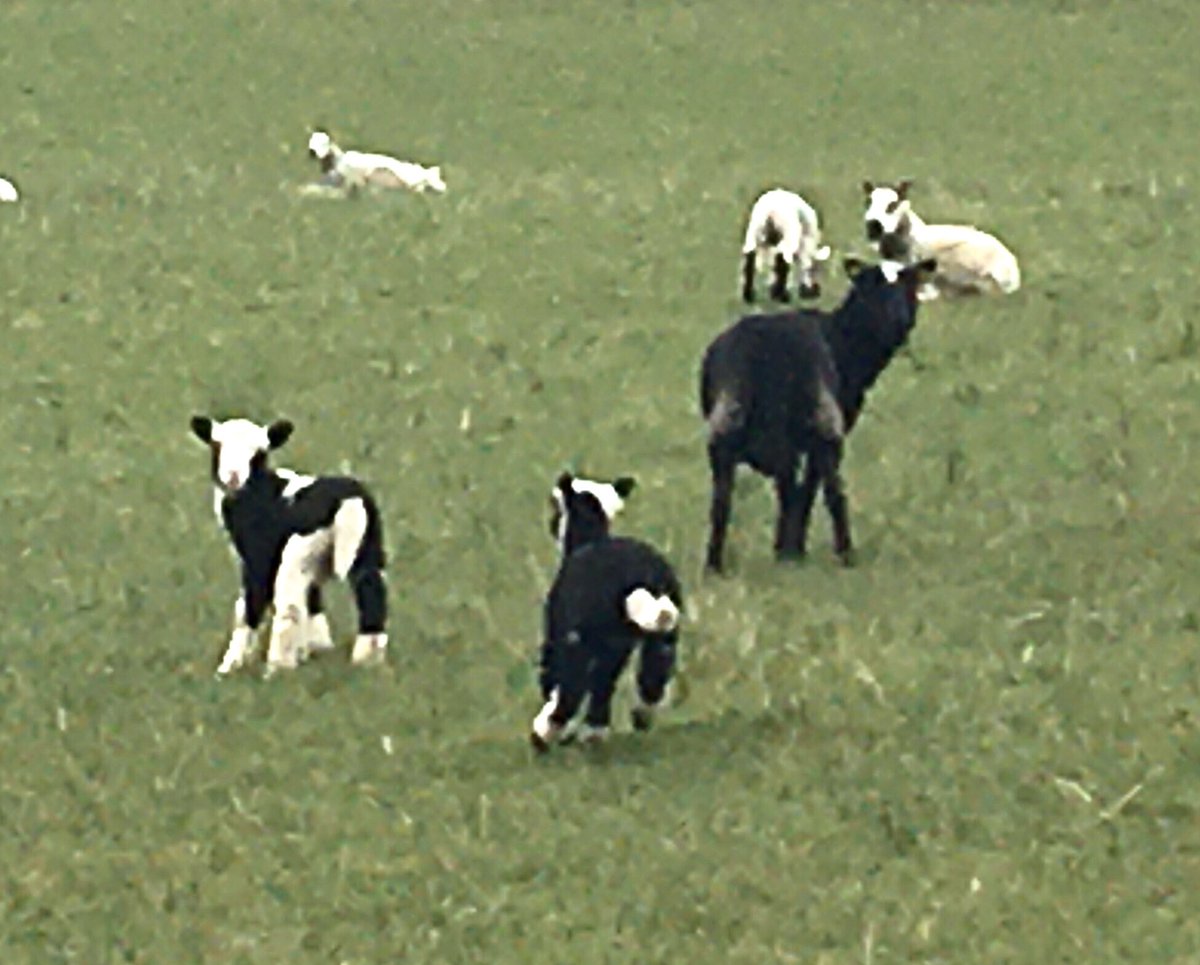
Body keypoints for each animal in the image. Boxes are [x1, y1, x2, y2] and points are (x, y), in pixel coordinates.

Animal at [189, 416, 388, 676]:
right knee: (371, 588)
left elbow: (249, 604)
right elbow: (313, 600)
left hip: (298, 552)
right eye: (216, 445)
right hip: (365, 546)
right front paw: (317, 649)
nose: (233, 476)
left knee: (289, 605)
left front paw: (230, 666)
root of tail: (347, 498)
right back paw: (367, 661)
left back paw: (277, 669)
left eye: (259, 454)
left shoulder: (258, 554)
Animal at [531, 472, 683, 751]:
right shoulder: (615, 645)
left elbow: (554, 679)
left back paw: (543, 734)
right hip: (663, 633)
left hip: (578, 638)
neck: (589, 538)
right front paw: (594, 729)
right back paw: (635, 719)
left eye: (556, 507)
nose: (552, 524)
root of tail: (639, 577)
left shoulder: (561, 633)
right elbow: (604, 682)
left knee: (571, 689)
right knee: (652, 679)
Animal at [700, 256, 938, 572]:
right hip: (819, 422)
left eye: (911, 287)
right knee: (828, 490)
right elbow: (810, 487)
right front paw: (793, 549)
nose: (901, 321)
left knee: (723, 498)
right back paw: (837, 553)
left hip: (728, 425)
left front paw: (786, 548)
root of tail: (763, 354)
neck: (845, 342)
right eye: (873, 288)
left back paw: (714, 565)